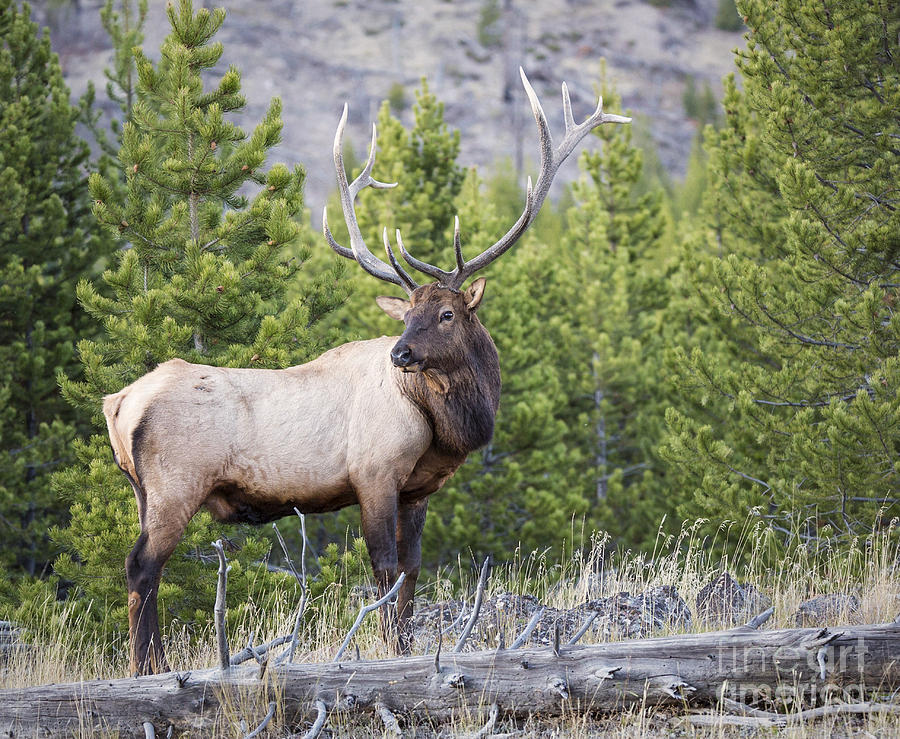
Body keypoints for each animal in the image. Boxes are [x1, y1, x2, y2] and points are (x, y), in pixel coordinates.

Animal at [105, 69, 628, 676]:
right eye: (407, 314)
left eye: (446, 314)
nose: (400, 353)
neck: (443, 424)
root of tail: (118, 403)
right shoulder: (373, 473)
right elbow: (383, 568)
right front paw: (389, 650)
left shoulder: (418, 490)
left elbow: (412, 570)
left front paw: (406, 645)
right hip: (176, 485)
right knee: (141, 567)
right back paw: (149, 669)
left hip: (142, 492)